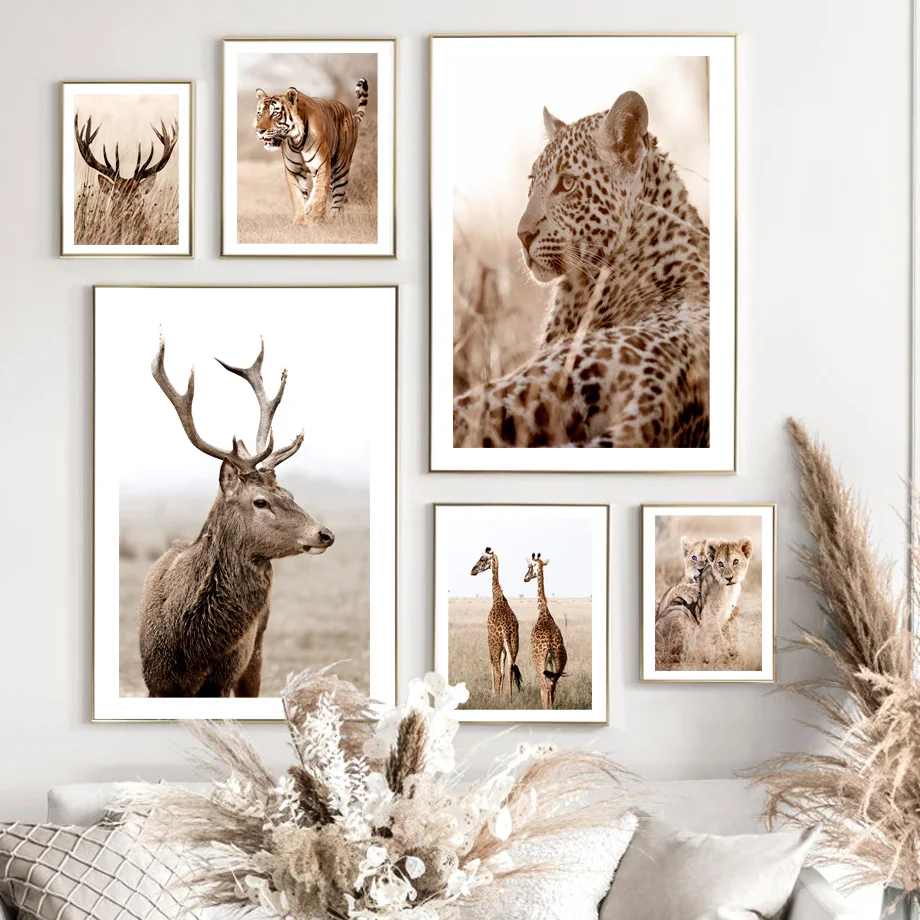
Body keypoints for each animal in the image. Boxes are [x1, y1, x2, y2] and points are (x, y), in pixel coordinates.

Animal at [138, 337, 335, 699]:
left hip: (255, 652)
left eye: (290, 494)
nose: (325, 534)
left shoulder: (222, 679)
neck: (191, 651)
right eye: (261, 501)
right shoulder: (155, 682)